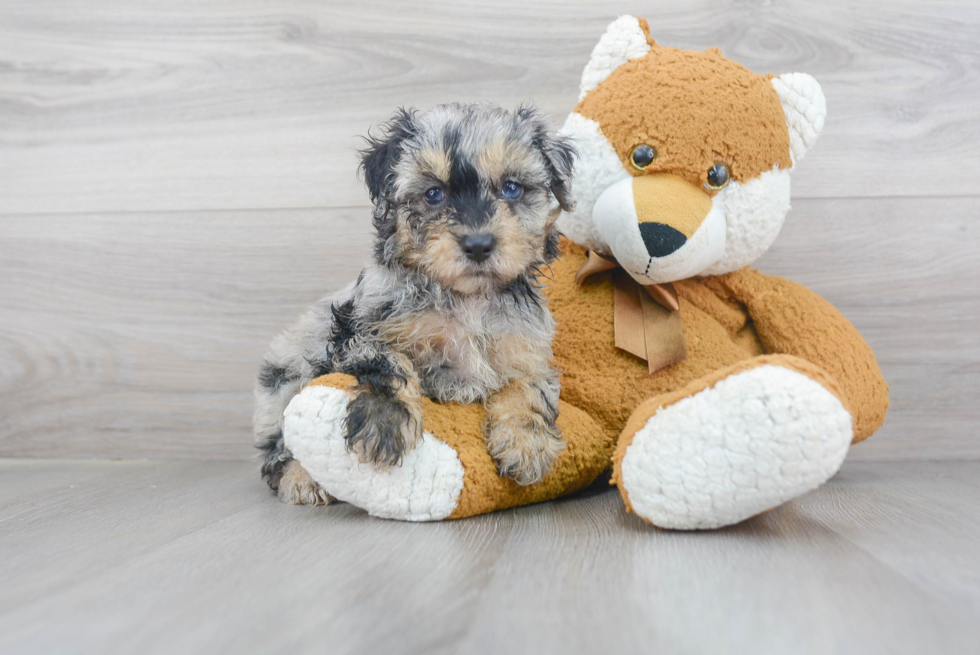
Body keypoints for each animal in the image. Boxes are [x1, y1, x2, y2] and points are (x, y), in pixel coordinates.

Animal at [253, 102, 576, 504]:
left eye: (512, 188)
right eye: (434, 194)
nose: (479, 244)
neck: (467, 298)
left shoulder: (527, 348)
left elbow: (528, 387)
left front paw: (526, 444)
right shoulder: (360, 331)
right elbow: (390, 362)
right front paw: (384, 425)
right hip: (286, 374)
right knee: (277, 450)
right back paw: (302, 478)